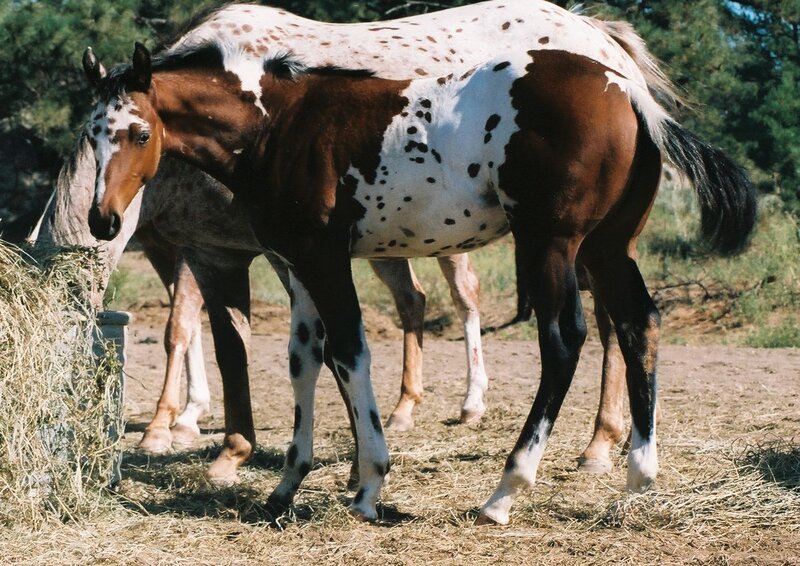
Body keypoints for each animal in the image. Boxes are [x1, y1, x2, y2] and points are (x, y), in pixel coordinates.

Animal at [79, 24, 755, 523]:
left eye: (139, 132)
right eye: (91, 134)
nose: (103, 220)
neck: (280, 125)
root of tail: (627, 89)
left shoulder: (323, 258)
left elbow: (350, 353)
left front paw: (369, 485)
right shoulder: (297, 263)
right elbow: (305, 360)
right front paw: (288, 484)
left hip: (553, 244)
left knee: (566, 339)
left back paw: (505, 491)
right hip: (608, 247)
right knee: (641, 323)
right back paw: (639, 476)